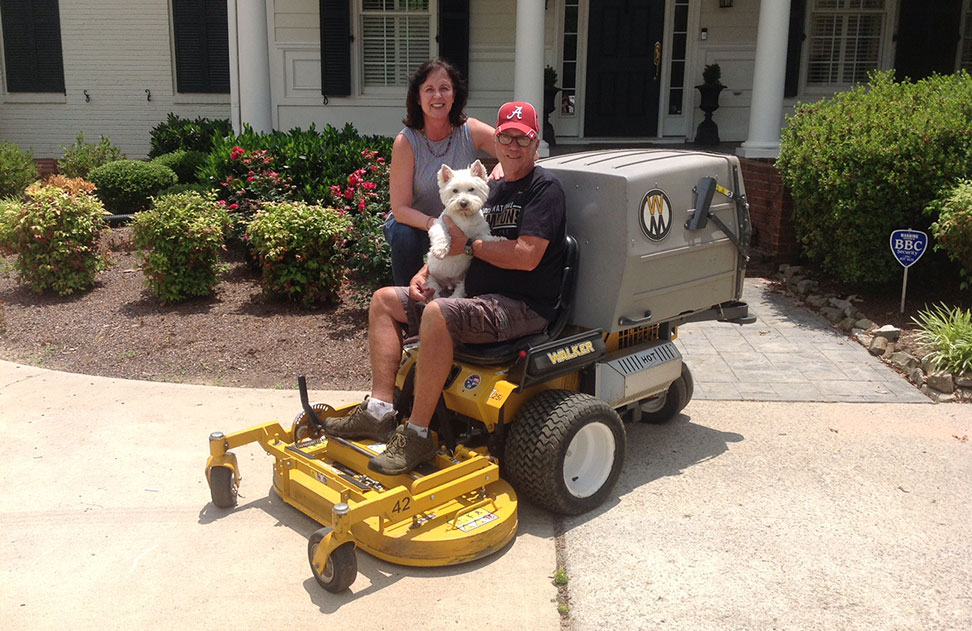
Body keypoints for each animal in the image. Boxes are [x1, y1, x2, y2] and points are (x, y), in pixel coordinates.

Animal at [426, 159, 502, 300]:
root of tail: (449, 283)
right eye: (455, 190)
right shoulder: (439, 223)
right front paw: (440, 250)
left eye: (471, 189)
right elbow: (441, 234)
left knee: (459, 290)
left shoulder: (480, 231)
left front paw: (498, 239)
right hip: (431, 278)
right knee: (434, 291)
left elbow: (485, 238)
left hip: (464, 280)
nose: (463, 203)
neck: (464, 217)